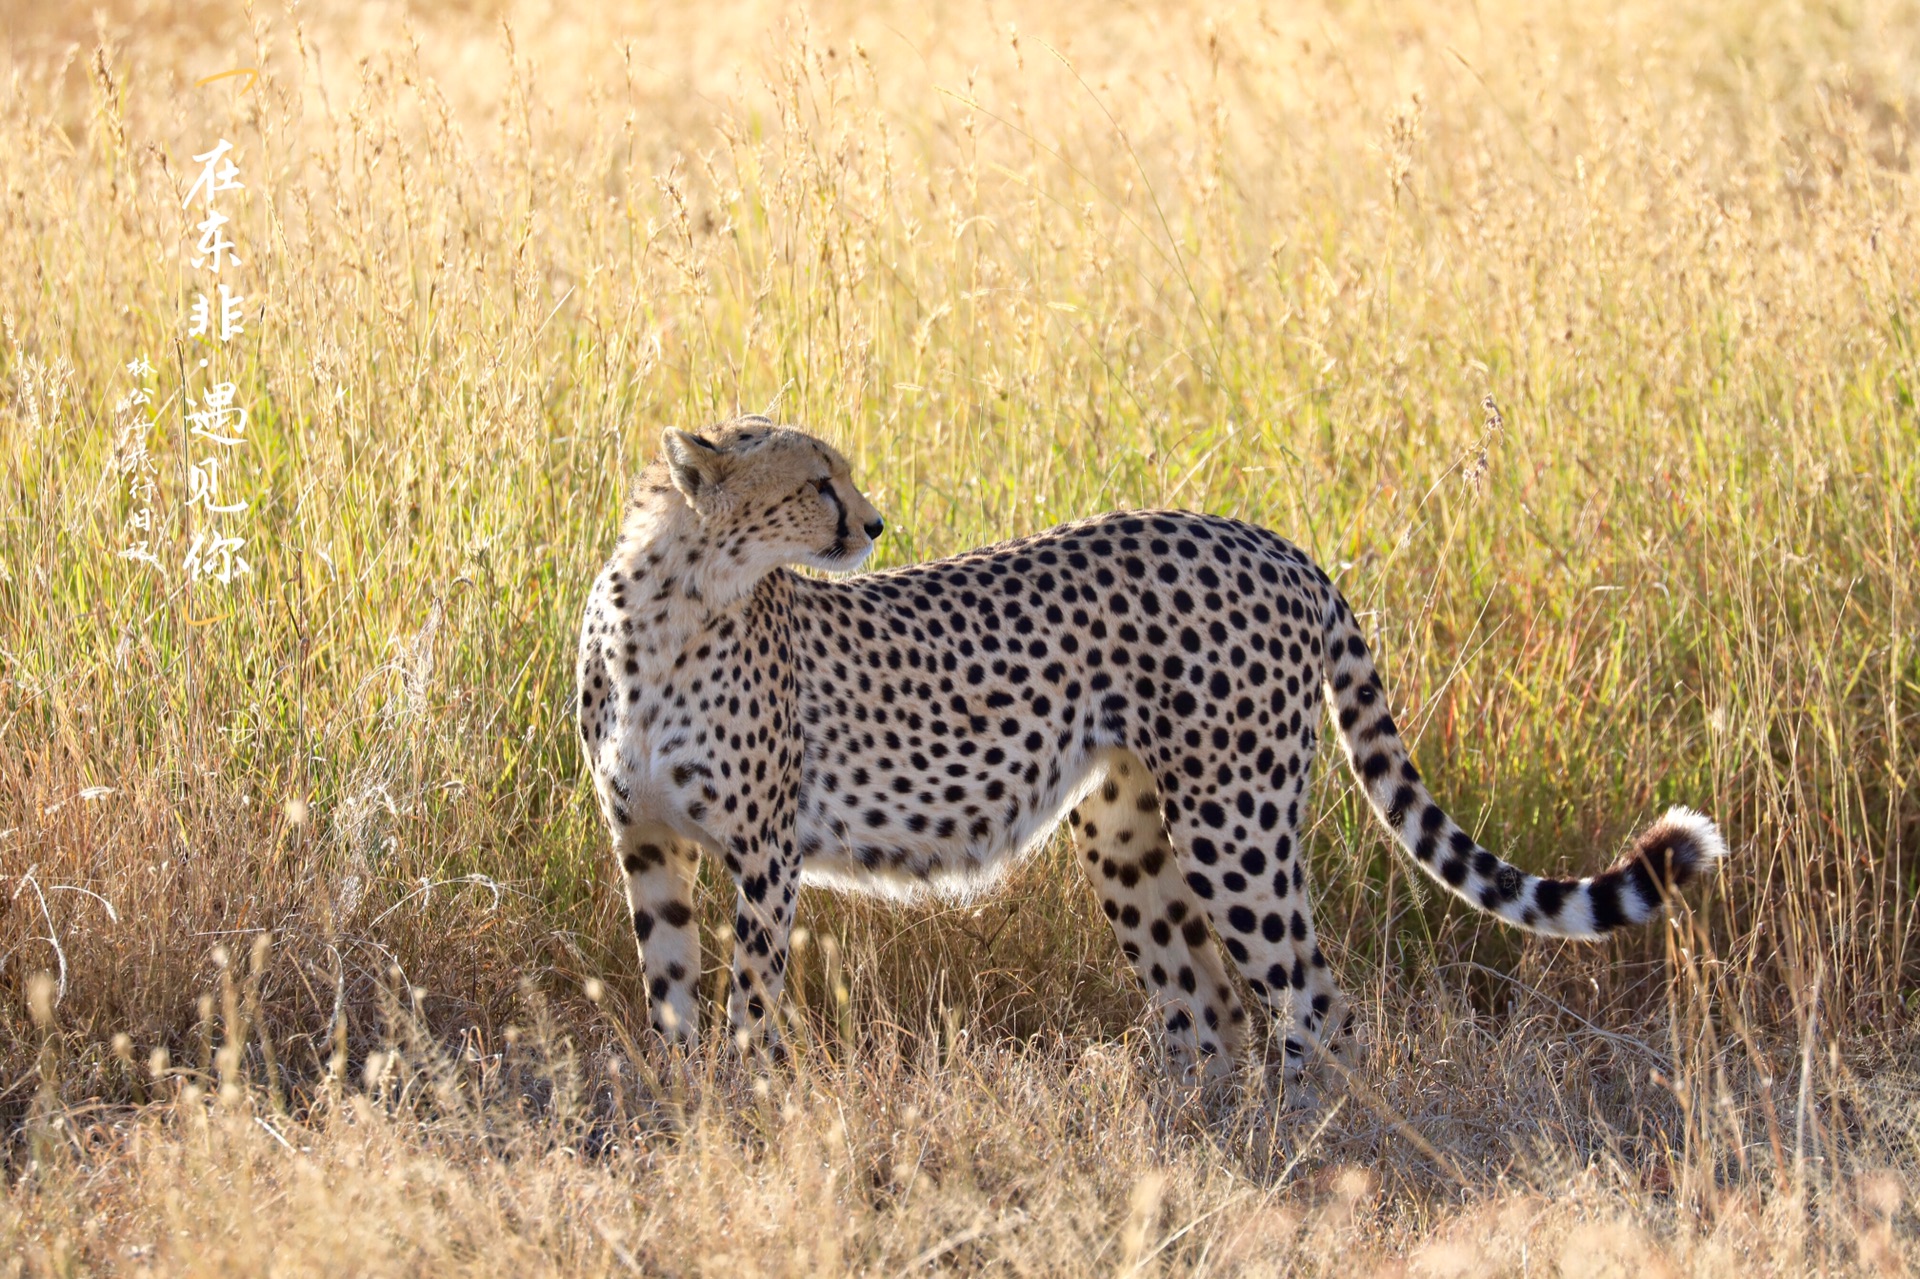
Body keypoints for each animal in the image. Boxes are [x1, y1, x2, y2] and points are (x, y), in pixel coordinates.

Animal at [572, 418, 1728, 1075]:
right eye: (817, 481)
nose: (875, 522)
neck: (671, 606)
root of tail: (1278, 542)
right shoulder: (647, 844)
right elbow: (670, 991)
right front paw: (691, 1115)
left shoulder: (764, 854)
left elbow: (751, 1002)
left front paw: (750, 1104)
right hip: (1130, 834)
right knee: (1205, 1006)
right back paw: (1200, 1145)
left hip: (1235, 823)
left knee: (1316, 1001)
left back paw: (1306, 1145)